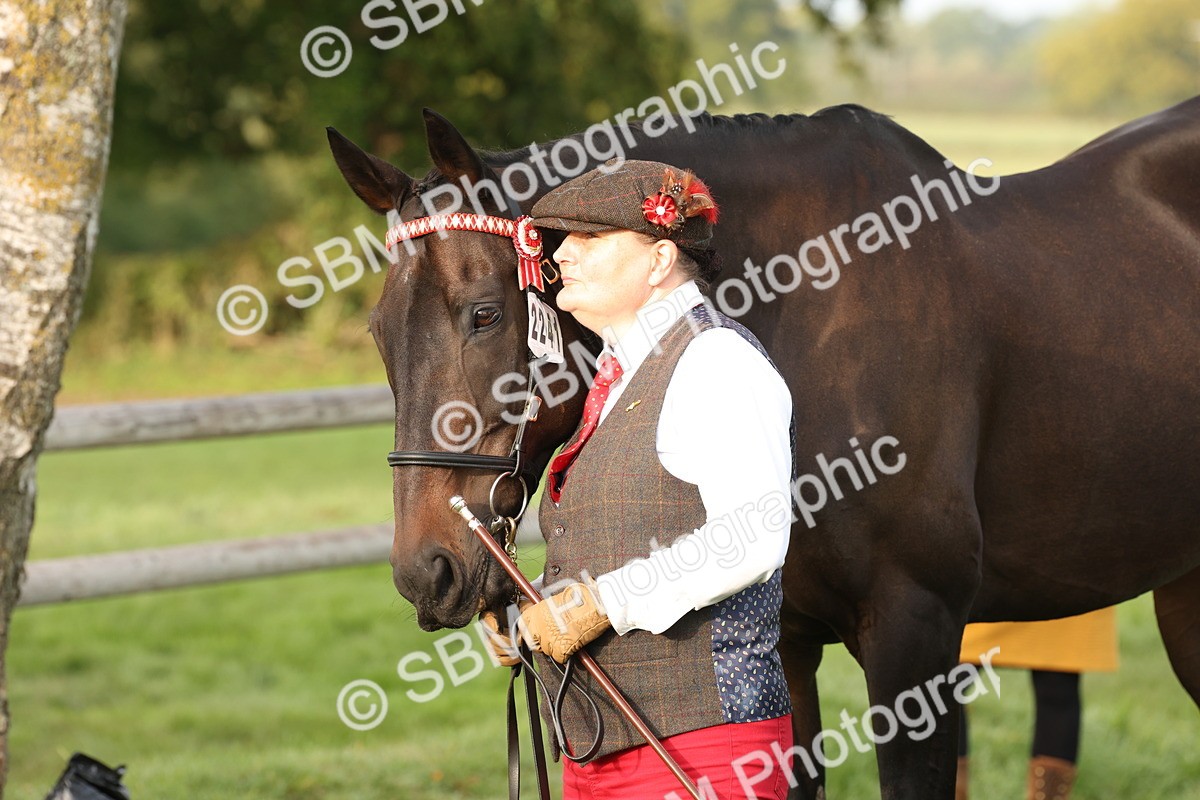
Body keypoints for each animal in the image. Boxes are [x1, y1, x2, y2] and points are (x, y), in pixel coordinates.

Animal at [327, 97, 1200, 799]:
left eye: (482, 313)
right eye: (377, 332)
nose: (426, 572)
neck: (815, 320)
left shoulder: (916, 628)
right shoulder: (786, 647)